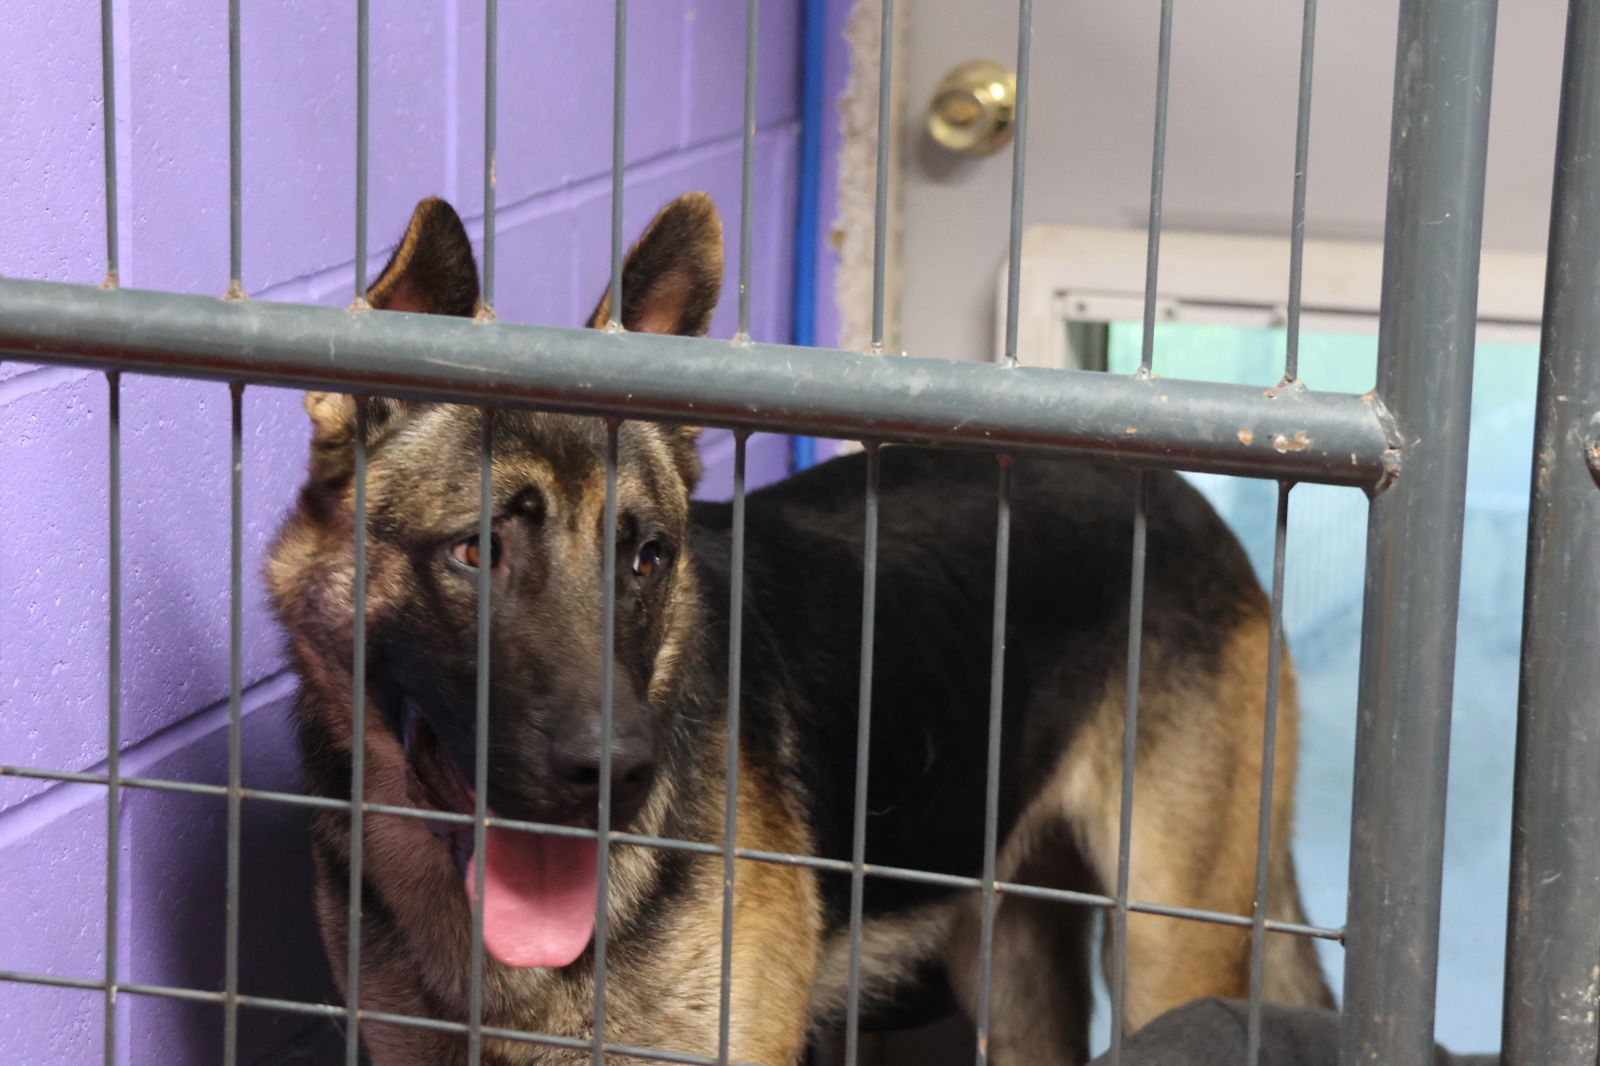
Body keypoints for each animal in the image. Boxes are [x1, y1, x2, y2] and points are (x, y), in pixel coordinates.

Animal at [268, 192, 1331, 1062]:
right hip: (1012, 964)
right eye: (476, 551)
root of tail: (1169, 484)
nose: (618, 772)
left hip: (1168, 950)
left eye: (647, 558)